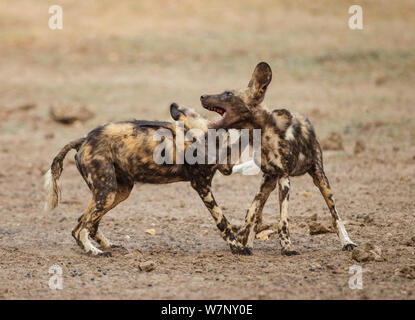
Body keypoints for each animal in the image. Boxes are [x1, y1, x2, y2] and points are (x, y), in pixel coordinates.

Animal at [44, 104, 247, 256]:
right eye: (230, 151)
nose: (230, 170)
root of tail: (84, 139)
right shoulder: (202, 186)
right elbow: (222, 221)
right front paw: (237, 246)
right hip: (107, 192)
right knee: (82, 228)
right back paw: (95, 252)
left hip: (118, 192)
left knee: (83, 223)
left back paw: (105, 246)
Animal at [201, 61, 358, 255]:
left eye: (228, 94)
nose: (202, 96)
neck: (263, 134)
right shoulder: (268, 179)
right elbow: (251, 213)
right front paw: (242, 240)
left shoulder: (284, 178)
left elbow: (283, 220)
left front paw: (287, 247)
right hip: (267, 183)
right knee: (256, 212)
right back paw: (249, 242)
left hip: (321, 179)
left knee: (335, 216)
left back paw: (347, 242)